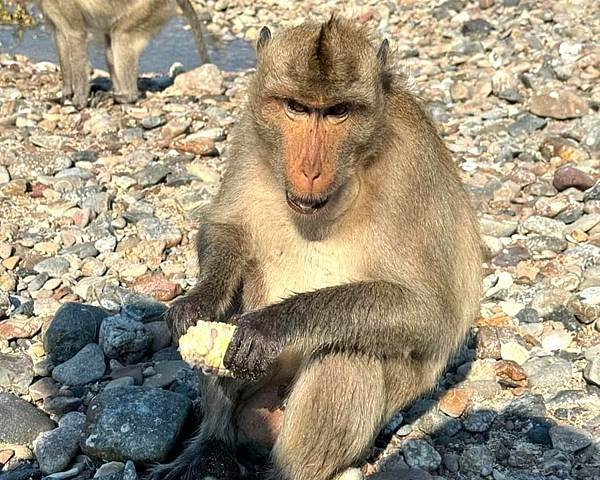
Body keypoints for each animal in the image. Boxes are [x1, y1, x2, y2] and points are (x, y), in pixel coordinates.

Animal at [35, 0, 210, 109]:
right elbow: (60, 37)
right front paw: (66, 93)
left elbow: (76, 35)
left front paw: (79, 101)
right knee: (110, 48)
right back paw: (113, 92)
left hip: (147, 9)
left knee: (121, 36)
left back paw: (126, 96)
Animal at [150, 14, 482, 480]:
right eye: (296, 107)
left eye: (337, 112)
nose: (309, 170)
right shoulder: (251, 133)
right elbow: (226, 227)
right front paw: (201, 300)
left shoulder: (411, 167)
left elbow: (429, 313)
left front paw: (270, 325)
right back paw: (214, 447)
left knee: (345, 354)